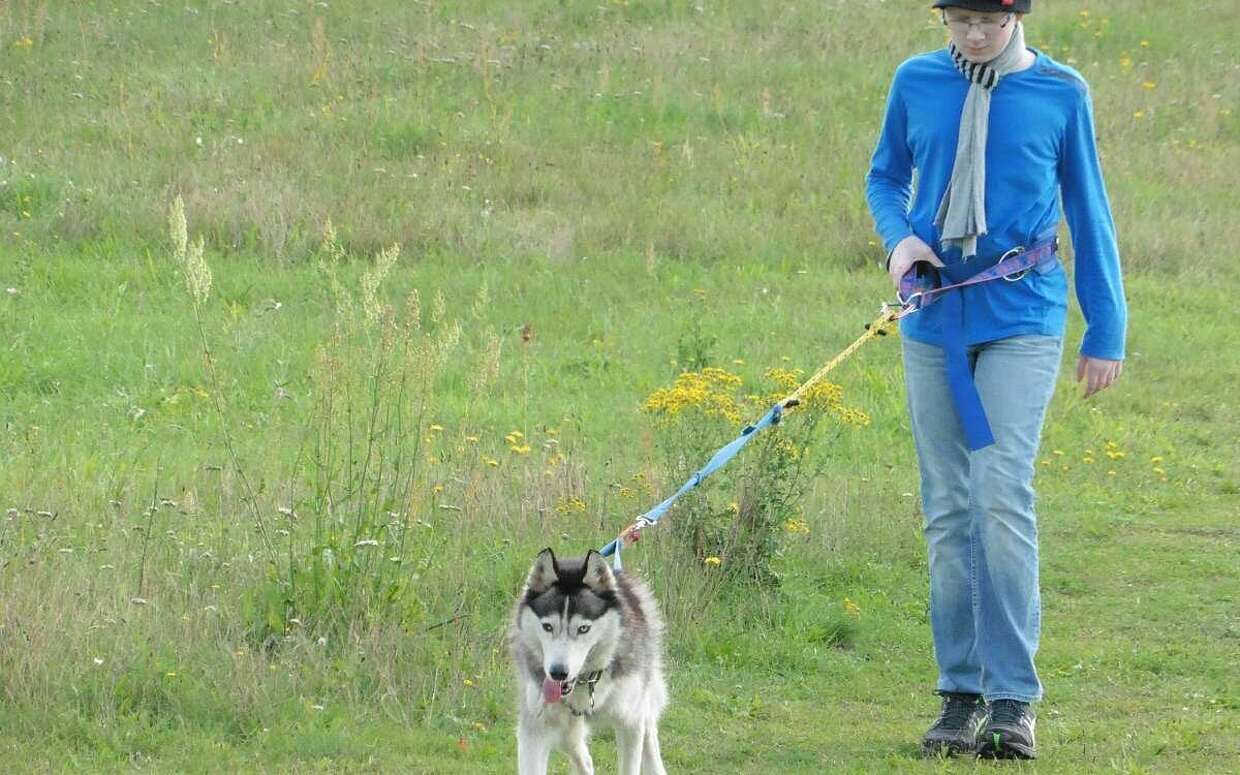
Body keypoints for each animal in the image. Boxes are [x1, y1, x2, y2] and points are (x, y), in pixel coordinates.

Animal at [510, 548, 669, 773]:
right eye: (547, 626)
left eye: (583, 628)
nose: (558, 673)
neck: (585, 680)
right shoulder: (534, 730)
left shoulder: (630, 722)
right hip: (565, 729)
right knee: (583, 758)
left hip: (642, 700)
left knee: (649, 734)